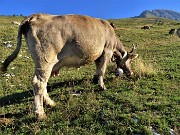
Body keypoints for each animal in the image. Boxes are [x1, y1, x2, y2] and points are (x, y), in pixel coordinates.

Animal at [1, 13, 138, 119]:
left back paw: (50, 103)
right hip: (45, 59)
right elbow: (102, 70)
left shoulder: (98, 55)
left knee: (43, 82)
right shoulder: (107, 51)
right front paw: (102, 86)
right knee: (38, 83)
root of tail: (35, 16)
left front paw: (95, 79)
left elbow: (98, 68)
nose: (131, 73)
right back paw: (40, 113)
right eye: (130, 61)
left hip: (43, 64)